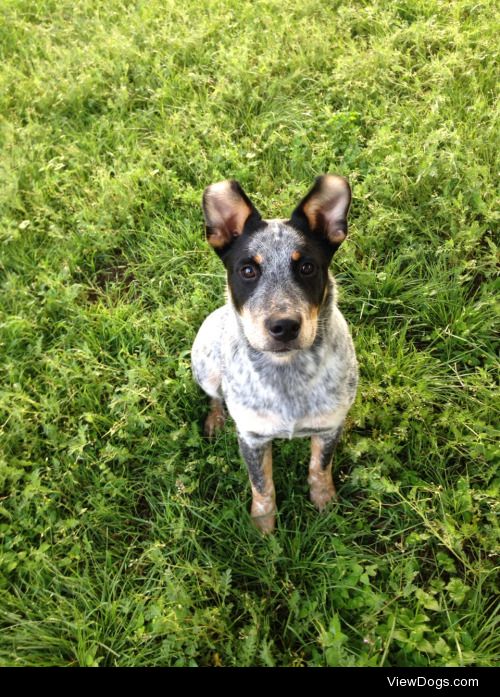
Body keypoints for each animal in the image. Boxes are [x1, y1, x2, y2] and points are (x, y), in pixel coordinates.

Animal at [189, 175, 358, 532]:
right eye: (248, 270)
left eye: (307, 267)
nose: (284, 326)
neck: (287, 372)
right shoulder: (252, 438)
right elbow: (262, 485)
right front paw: (263, 526)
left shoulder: (329, 428)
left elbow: (319, 468)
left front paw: (325, 503)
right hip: (205, 366)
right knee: (215, 395)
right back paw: (215, 420)